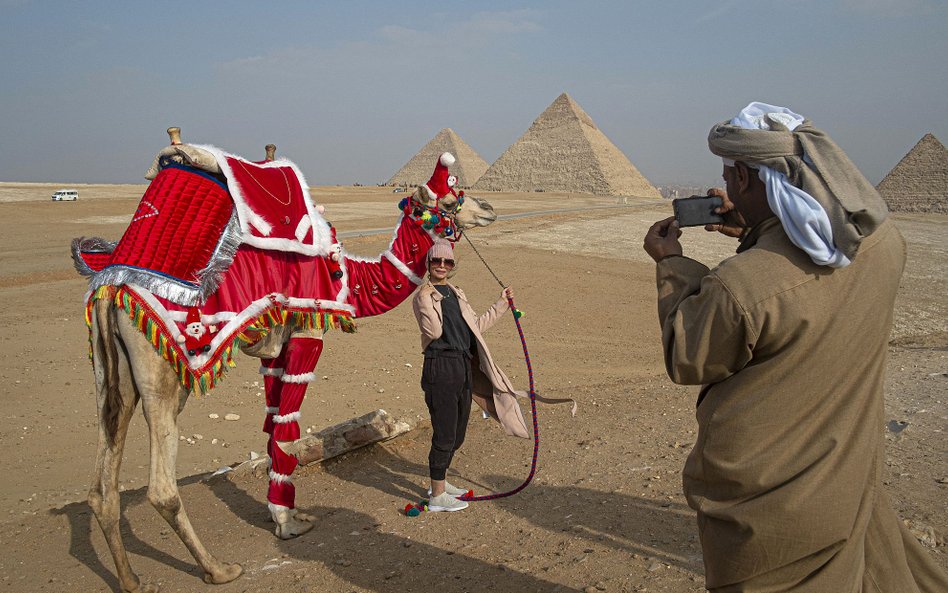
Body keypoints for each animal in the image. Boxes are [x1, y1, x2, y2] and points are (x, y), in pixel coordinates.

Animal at [76, 134, 496, 592]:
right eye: (452, 198)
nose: (489, 208)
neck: (347, 277)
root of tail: (113, 285)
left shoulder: (274, 347)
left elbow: (274, 421)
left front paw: (283, 511)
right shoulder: (309, 330)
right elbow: (289, 427)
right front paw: (288, 523)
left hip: (110, 371)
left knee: (103, 474)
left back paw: (130, 578)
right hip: (164, 369)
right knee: (161, 486)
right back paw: (218, 569)